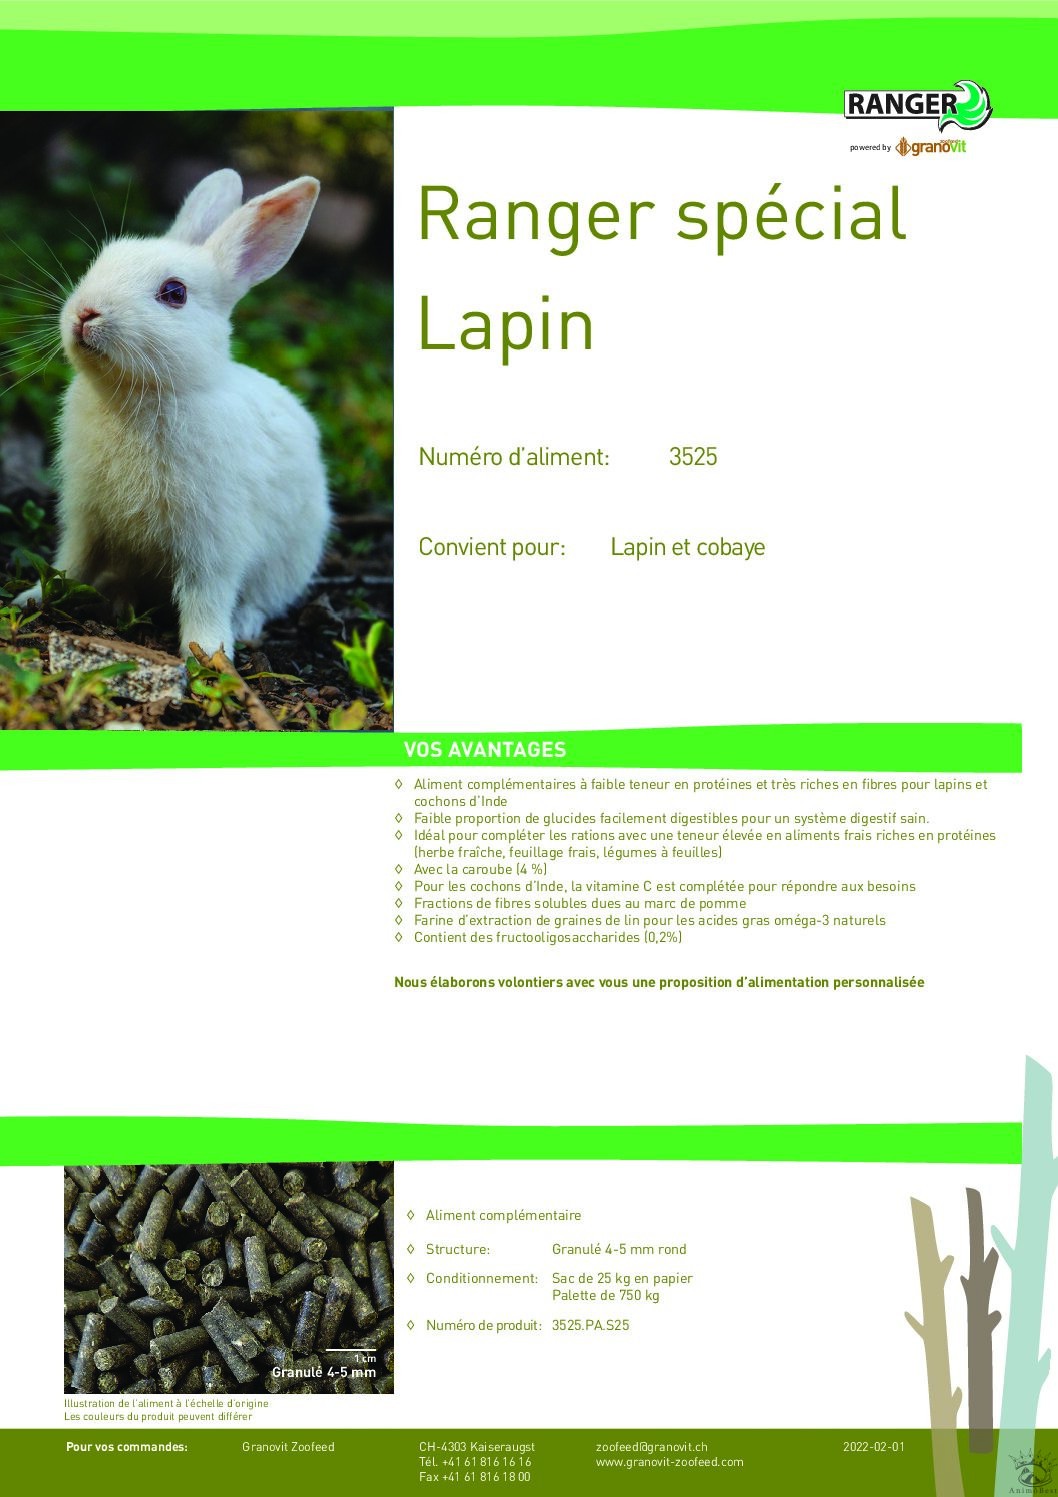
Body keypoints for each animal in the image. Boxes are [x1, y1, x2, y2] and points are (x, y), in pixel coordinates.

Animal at [16, 168, 331, 660]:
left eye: (175, 293)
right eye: (102, 260)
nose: (85, 313)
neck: (141, 395)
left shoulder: (213, 541)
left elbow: (206, 595)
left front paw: (208, 653)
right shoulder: (85, 517)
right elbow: (71, 562)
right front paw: (33, 597)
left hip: (290, 560)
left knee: (261, 599)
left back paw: (243, 626)